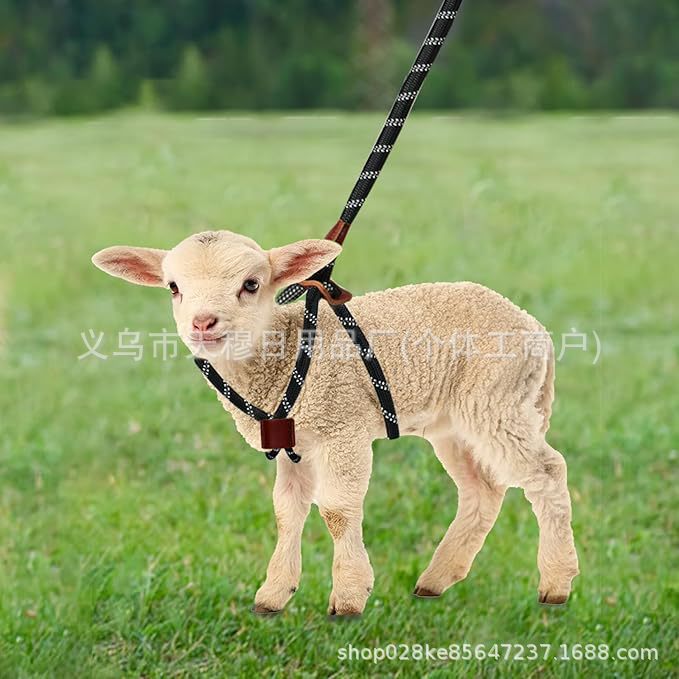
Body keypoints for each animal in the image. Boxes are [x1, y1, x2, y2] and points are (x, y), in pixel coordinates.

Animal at [92, 229, 579, 616]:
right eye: (173, 287)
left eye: (251, 284)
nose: (202, 323)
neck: (281, 350)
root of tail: (534, 329)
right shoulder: (293, 440)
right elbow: (286, 511)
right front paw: (274, 595)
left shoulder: (342, 425)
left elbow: (337, 510)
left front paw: (348, 597)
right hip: (455, 420)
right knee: (483, 491)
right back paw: (435, 580)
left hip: (497, 399)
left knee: (547, 472)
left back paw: (556, 583)